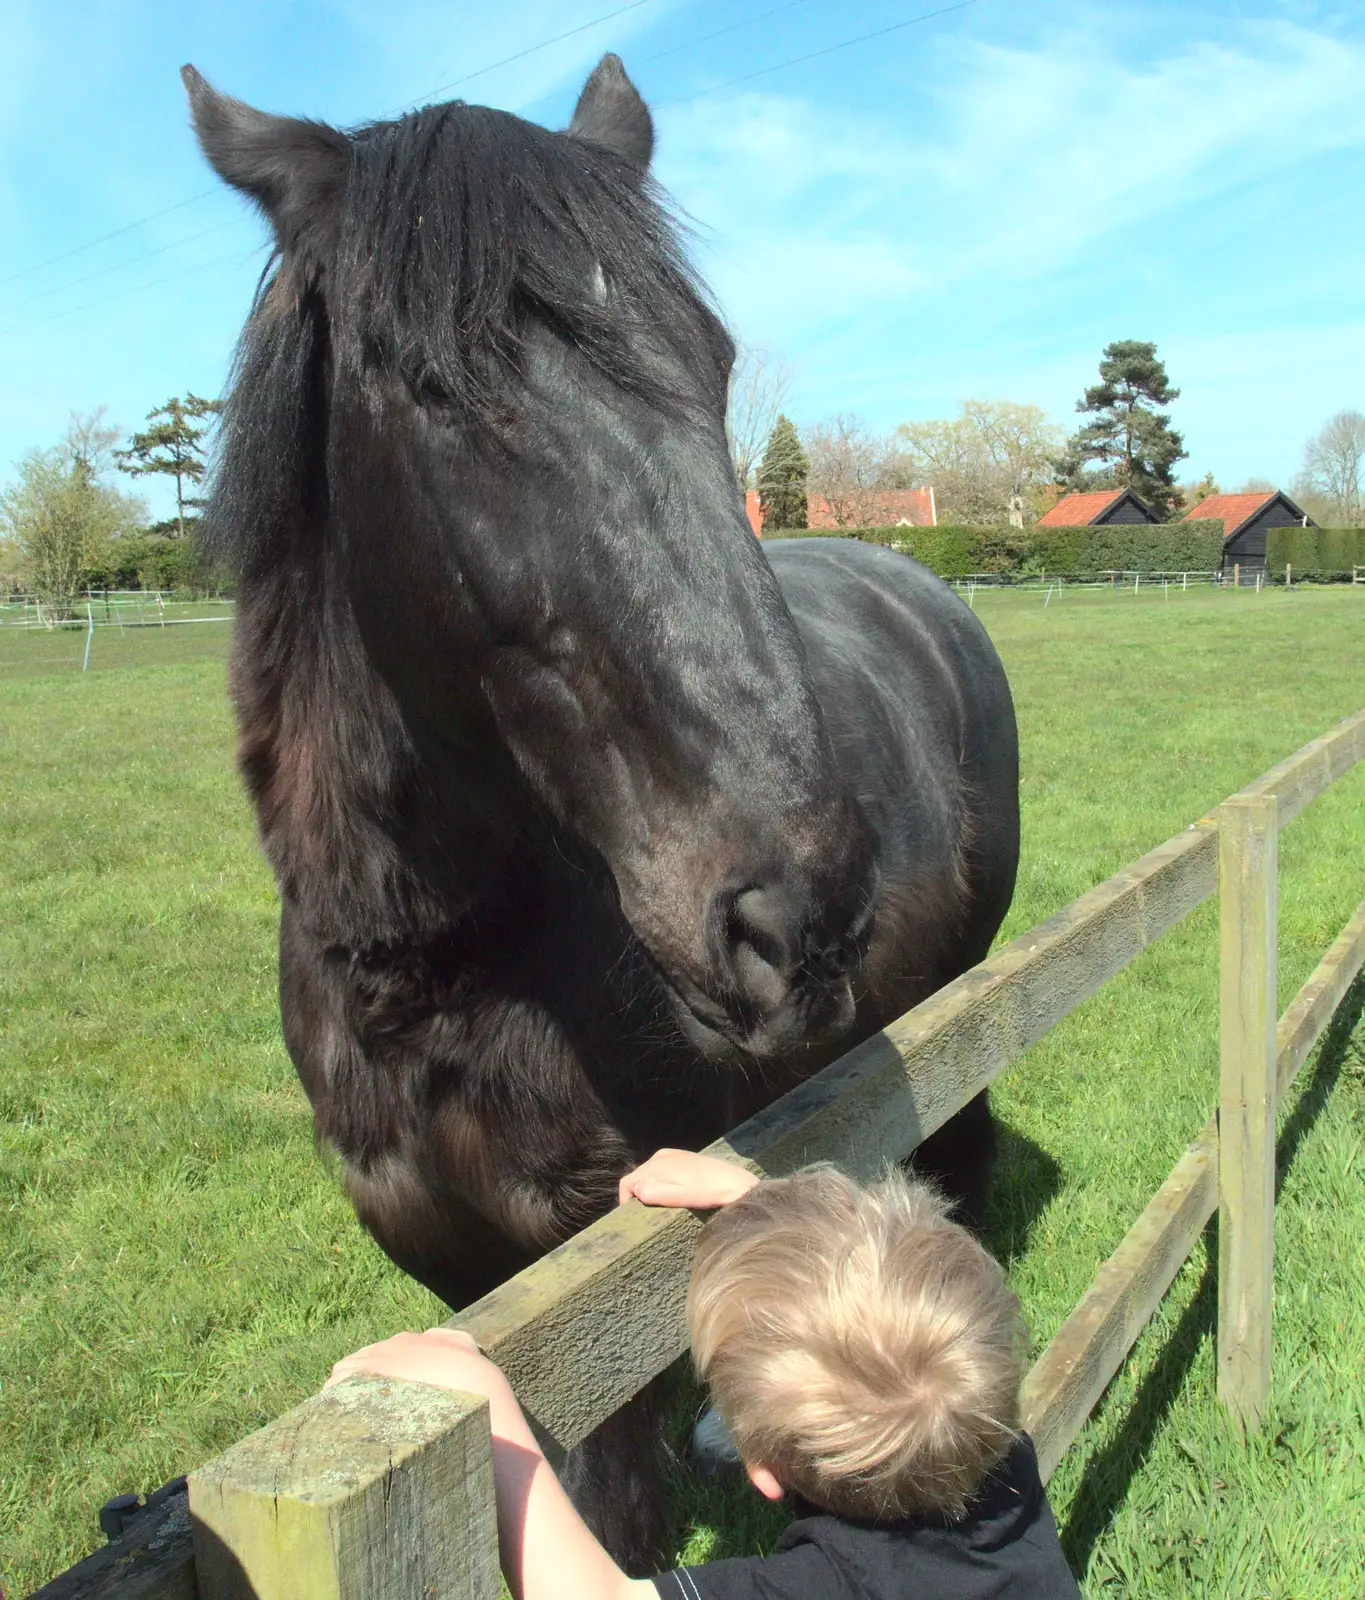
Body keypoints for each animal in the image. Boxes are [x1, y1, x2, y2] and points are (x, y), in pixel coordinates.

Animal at [186, 56, 1017, 1568]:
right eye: (434, 388)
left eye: (714, 367)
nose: (798, 909)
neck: (435, 976)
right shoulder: (461, 1267)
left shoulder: (592, 1300)